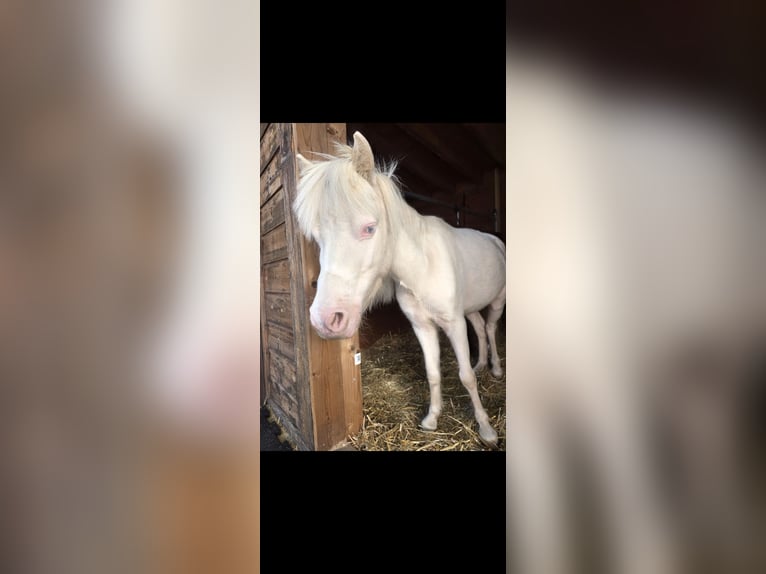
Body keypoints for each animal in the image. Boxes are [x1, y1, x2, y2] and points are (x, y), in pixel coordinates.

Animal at [293, 132, 506, 446]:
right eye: (318, 237)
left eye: (369, 228)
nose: (326, 320)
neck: (422, 266)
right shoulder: (423, 326)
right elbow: (433, 373)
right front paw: (431, 419)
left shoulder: (453, 323)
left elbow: (465, 376)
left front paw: (486, 429)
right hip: (470, 309)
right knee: (479, 328)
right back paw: (482, 365)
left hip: (497, 302)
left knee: (490, 329)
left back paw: (496, 369)